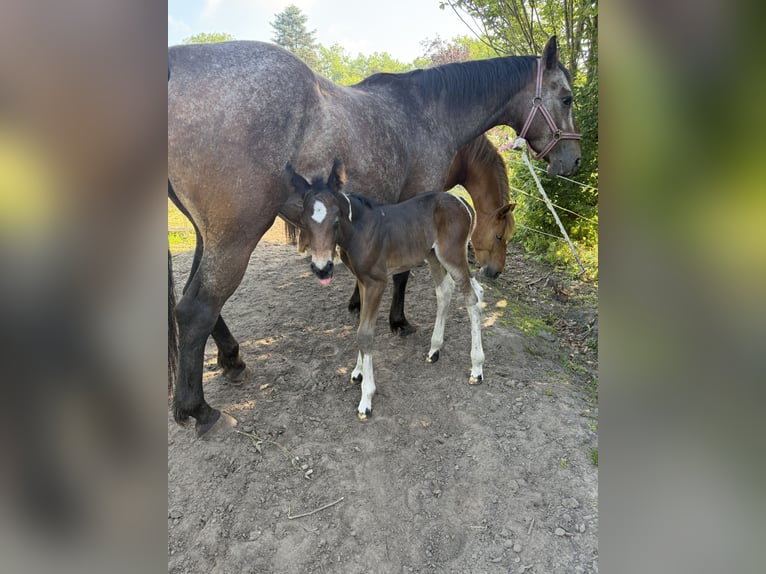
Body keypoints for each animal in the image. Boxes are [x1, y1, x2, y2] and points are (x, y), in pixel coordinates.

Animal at [282, 160, 485, 420]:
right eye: (305, 222)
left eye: (336, 220)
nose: (322, 269)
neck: (359, 230)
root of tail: (463, 202)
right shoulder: (361, 280)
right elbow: (360, 325)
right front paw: (358, 372)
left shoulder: (377, 282)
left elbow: (366, 334)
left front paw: (366, 398)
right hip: (433, 256)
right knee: (447, 291)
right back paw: (434, 350)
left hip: (453, 256)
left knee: (471, 298)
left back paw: (476, 368)